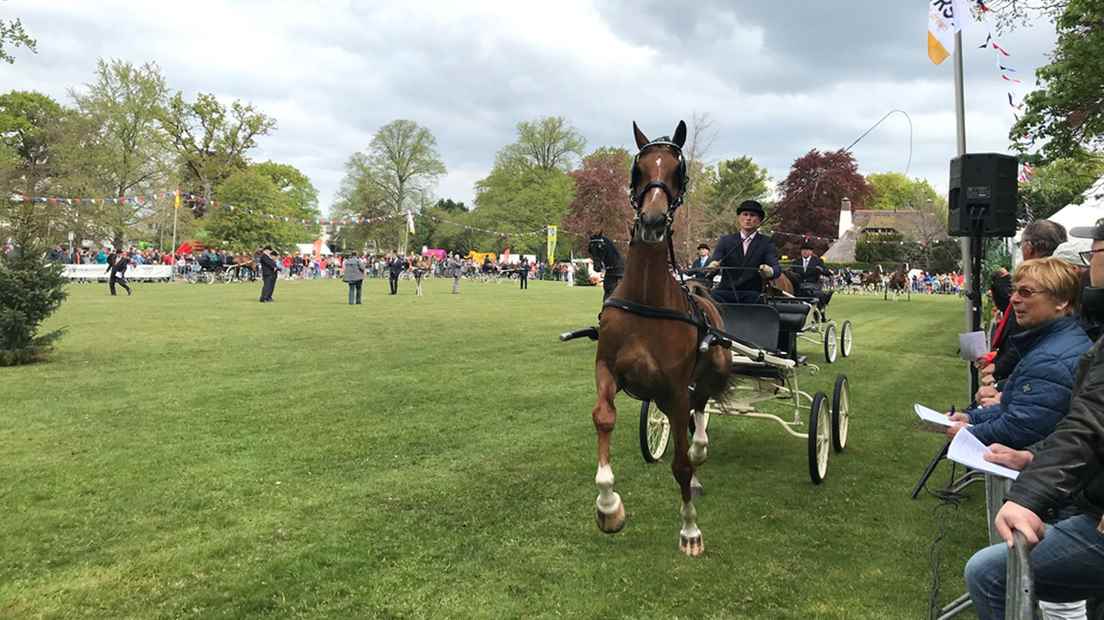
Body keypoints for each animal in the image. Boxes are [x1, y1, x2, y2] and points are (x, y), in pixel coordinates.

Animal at [587, 121, 733, 556]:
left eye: (678, 171)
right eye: (638, 168)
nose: (652, 221)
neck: (646, 299)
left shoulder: (674, 388)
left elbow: (681, 463)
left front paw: (690, 530)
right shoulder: (607, 370)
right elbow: (604, 418)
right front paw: (608, 507)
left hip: (708, 373)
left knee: (699, 419)